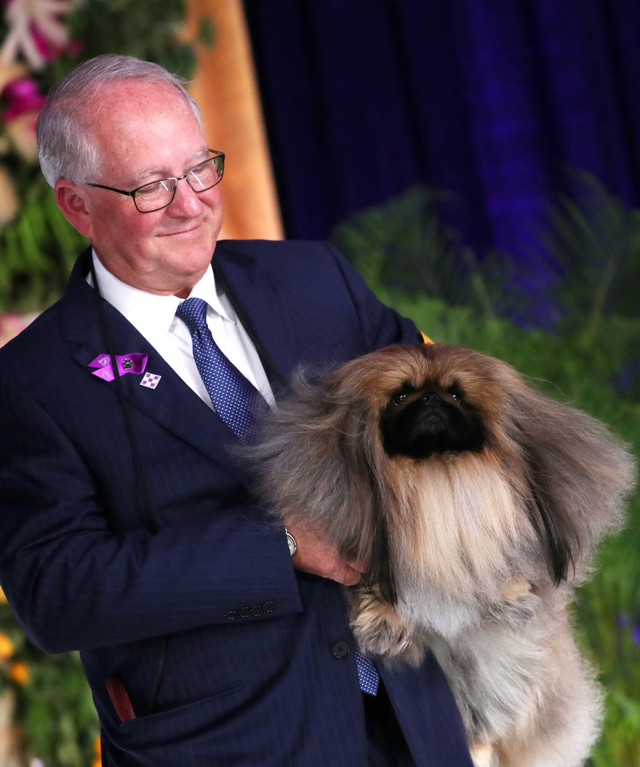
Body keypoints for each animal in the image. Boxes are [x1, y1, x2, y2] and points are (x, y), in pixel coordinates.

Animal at [249, 346, 636, 767]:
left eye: (457, 394)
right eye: (401, 395)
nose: (432, 399)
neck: (438, 475)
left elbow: (502, 554)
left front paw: (510, 594)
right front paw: (384, 620)